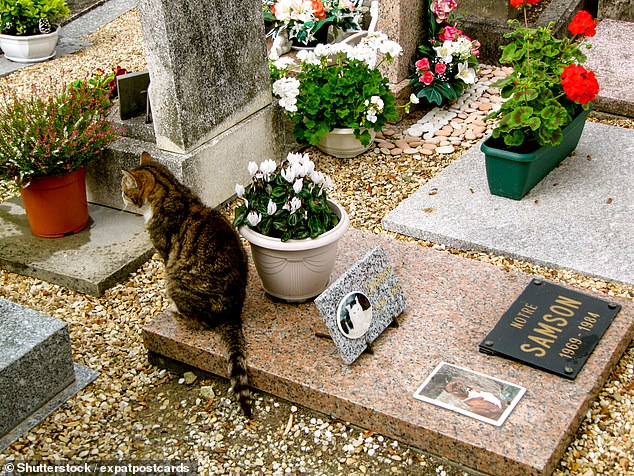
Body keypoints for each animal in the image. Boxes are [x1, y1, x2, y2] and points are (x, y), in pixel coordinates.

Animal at [121, 152, 252, 416]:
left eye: (124, 189)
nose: (120, 196)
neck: (170, 189)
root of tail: (231, 312)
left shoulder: (164, 251)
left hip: (175, 281)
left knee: (199, 320)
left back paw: (176, 311)